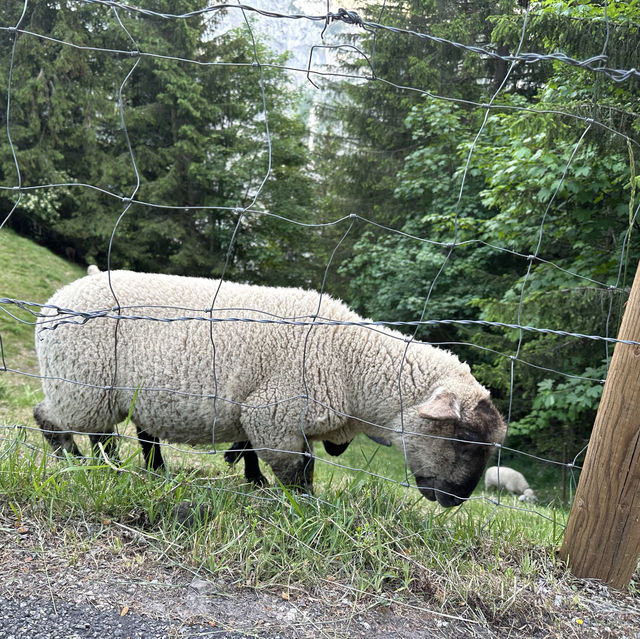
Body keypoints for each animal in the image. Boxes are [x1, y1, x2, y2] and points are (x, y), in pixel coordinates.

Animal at [35, 268, 508, 504]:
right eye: (463, 439)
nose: (458, 501)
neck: (351, 361)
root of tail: (61, 296)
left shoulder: (278, 417)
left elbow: (266, 456)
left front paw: (260, 485)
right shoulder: (273, 413)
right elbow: (297, 472)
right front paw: (305, 508)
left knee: (114, 434)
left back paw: (126, 470)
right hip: (82, 384)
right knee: (59, 421)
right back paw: (86, 465)